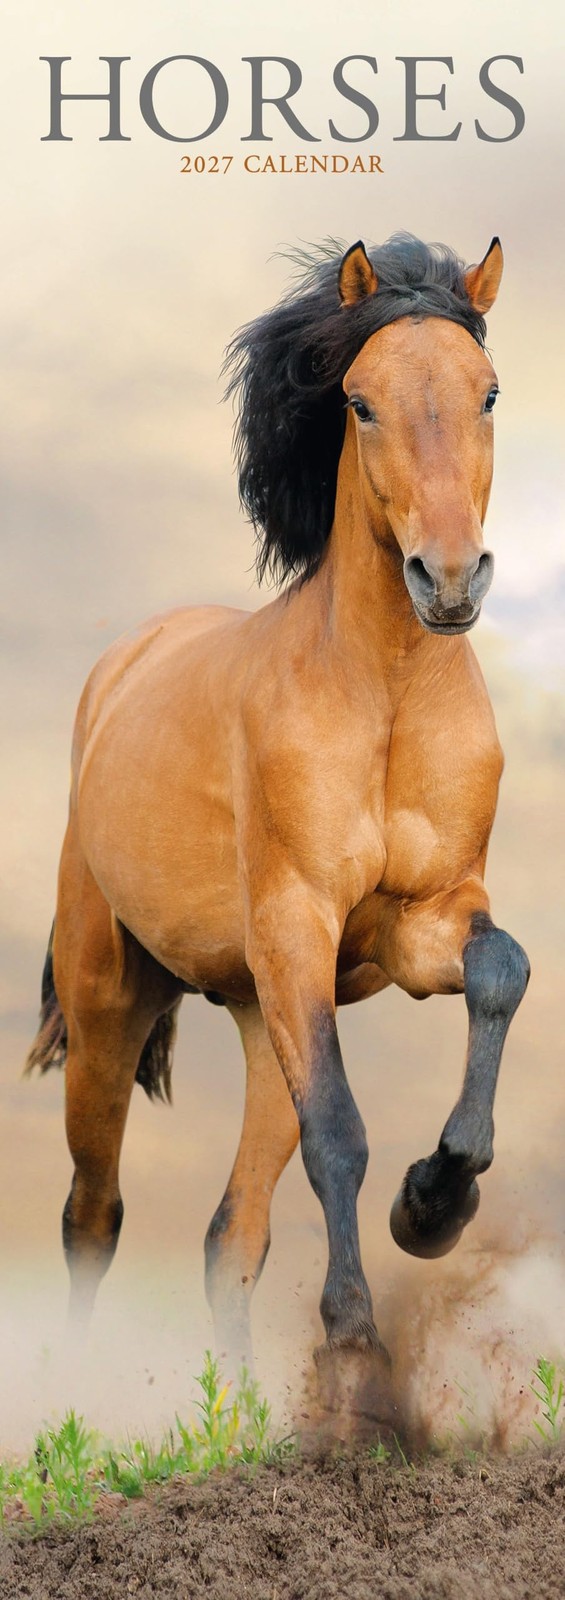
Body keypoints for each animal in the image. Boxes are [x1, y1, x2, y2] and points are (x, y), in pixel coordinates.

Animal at [27, 232, 530, 1414]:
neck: (382, 693)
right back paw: (79, 1398)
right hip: (112, 1005)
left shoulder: (417, 924)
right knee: (93, 1215)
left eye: (487, 392)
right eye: (357, 402)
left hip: (264, 1013)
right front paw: (354, 1348)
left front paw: (434, 1204)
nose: (448, 578)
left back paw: (241, 1418)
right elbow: (339, 1133)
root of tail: (121, 668)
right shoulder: (299, 921)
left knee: (230, 1236)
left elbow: (502, 971)